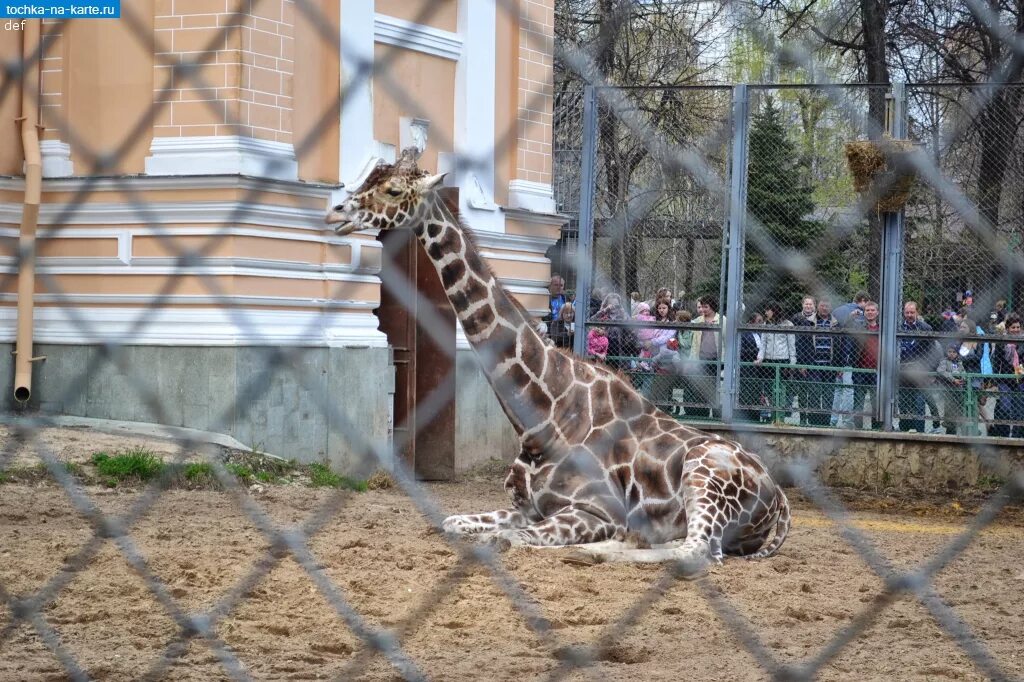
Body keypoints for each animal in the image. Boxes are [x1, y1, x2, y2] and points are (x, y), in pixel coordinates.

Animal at [327, 150, 790, 573]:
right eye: (368, 177)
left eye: (393, 190)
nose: (336, 212)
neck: (540, 421)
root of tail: (780, 494)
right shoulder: (523, 507)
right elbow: (453, 522)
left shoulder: (594, 510)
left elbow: (508, 539)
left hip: (703, 473)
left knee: (697, 551)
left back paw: (605, 548)